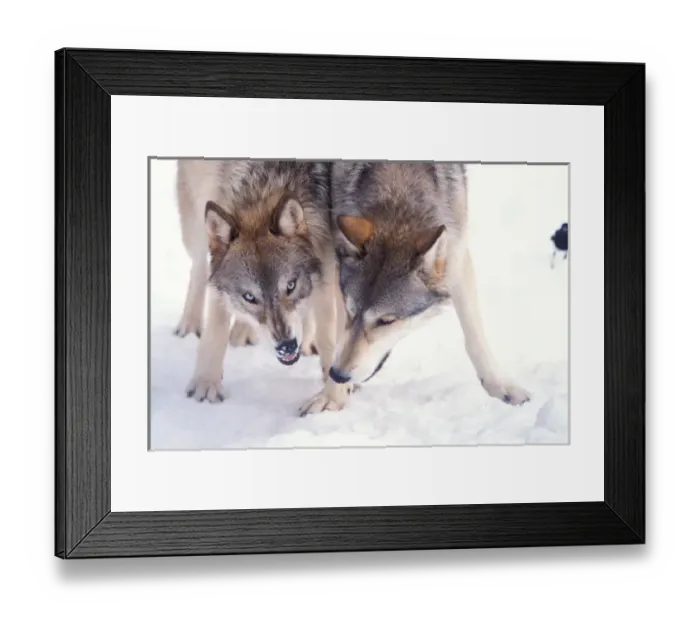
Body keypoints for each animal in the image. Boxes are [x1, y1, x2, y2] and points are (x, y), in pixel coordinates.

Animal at [174, 159, 348, 413]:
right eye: (249, 296)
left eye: (291, 285)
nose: (287, 346)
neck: (265, 187)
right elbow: (216, 328)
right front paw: (205, 385)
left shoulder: (325, 260)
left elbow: (327, 331)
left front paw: (332, 392)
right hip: (195, 221)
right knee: (199, 268)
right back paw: (190, 326)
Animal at [310, 161, 531, 413]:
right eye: (351, 311)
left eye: (386, 321)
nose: (338, 375)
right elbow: (335, 335)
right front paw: (332, 396)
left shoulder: (456, 253)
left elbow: (475, 332)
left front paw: (500, 386)